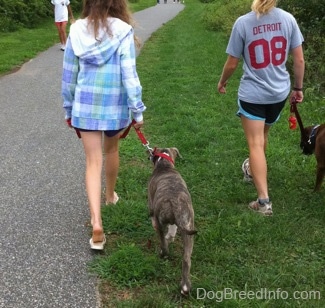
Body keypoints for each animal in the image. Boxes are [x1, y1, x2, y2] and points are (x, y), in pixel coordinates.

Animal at [147, 148, 195, 294]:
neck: (164, 165)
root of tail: (173, 202)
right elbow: (173, 228)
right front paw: (172, 235)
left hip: (158, 221)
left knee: (163, 243)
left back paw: (163, 254)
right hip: (188, 226)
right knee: (186, 258)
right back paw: (185, 286)